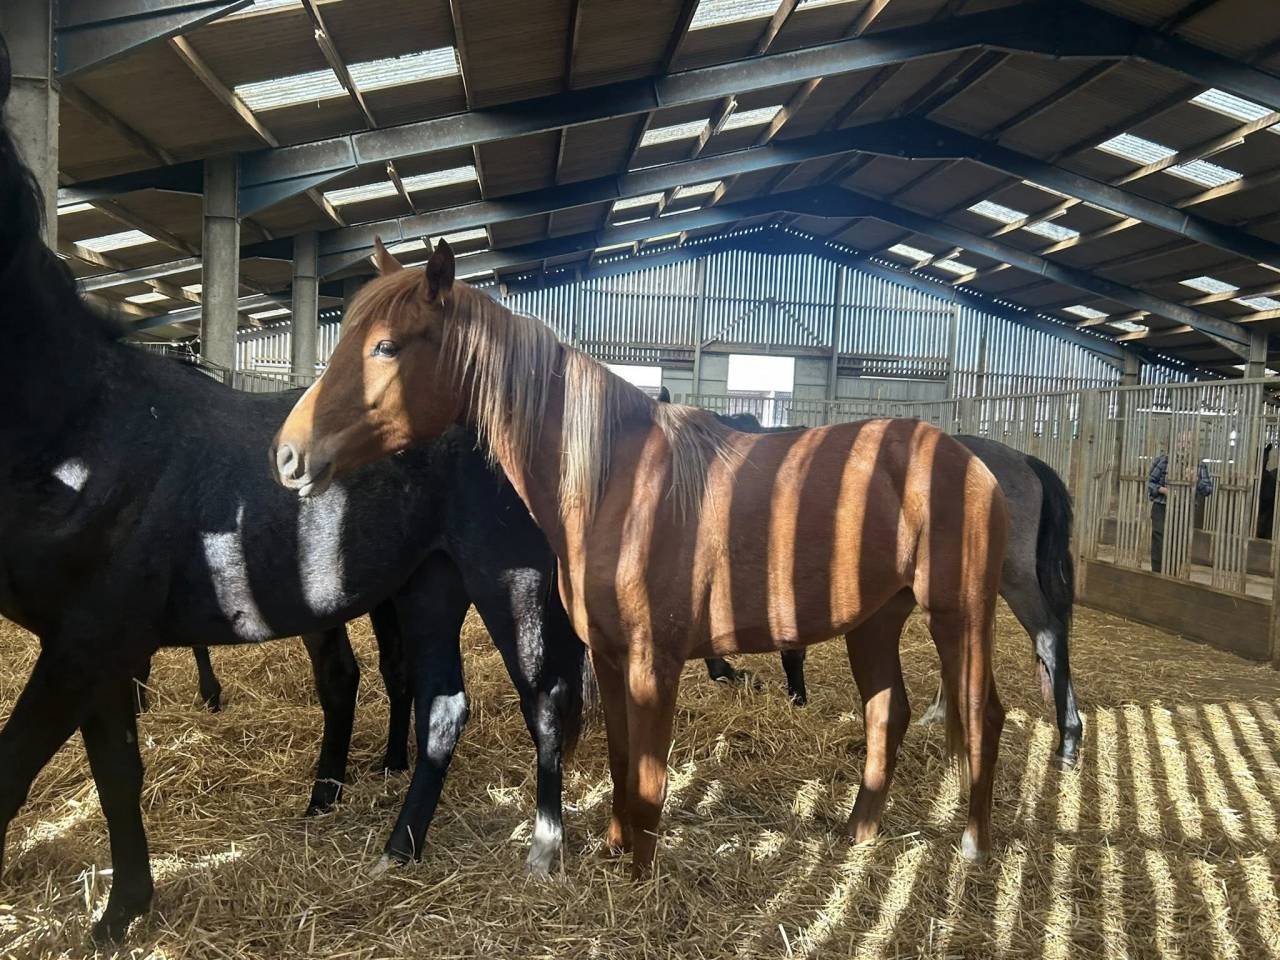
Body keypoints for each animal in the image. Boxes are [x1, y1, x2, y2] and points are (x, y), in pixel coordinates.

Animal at [0, 73, 587, 940]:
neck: (84, 425)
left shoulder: (86, 644)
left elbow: (14, 776)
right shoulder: (95, 651)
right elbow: (116, 773)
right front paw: (122, 913)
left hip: (510, 583)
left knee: (542, 700)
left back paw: (543, 850)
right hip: (428, 585)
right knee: (442, 707)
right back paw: (398, 846)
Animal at [273, 239, 1009, 874]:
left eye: (386, 346)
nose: (288, 454)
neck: (616, 485)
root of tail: (971, 461)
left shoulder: (656, 661)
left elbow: (650, 777)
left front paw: (641, 876)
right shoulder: (608, 653)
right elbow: (622, 760)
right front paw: (613, 848)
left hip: (960, 617)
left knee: (984, 716)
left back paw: (975, 848)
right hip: (877, 621)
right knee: (889, 713)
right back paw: (857, 835)